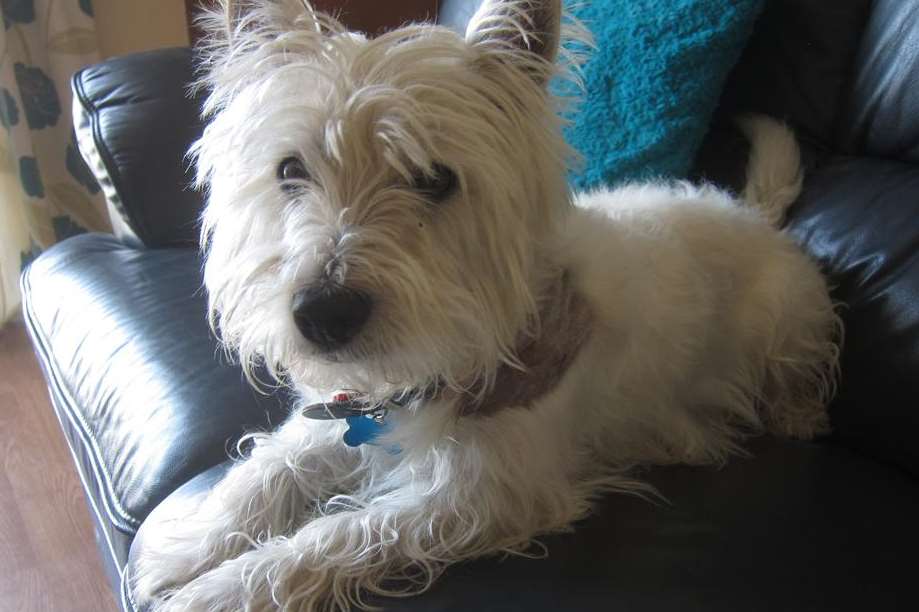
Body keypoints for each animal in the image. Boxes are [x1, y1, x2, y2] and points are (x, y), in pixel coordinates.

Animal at [135, 1, 840, 612]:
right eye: (290, 170)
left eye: (434, 179)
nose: (323, 316)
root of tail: (752, 214)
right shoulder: (342, 415)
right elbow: (271, 468)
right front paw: (183, 548)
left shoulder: (481, 496)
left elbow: (338, 536)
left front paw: (216, 592)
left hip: (782, 320)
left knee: (799, 367)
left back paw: (795, 413)